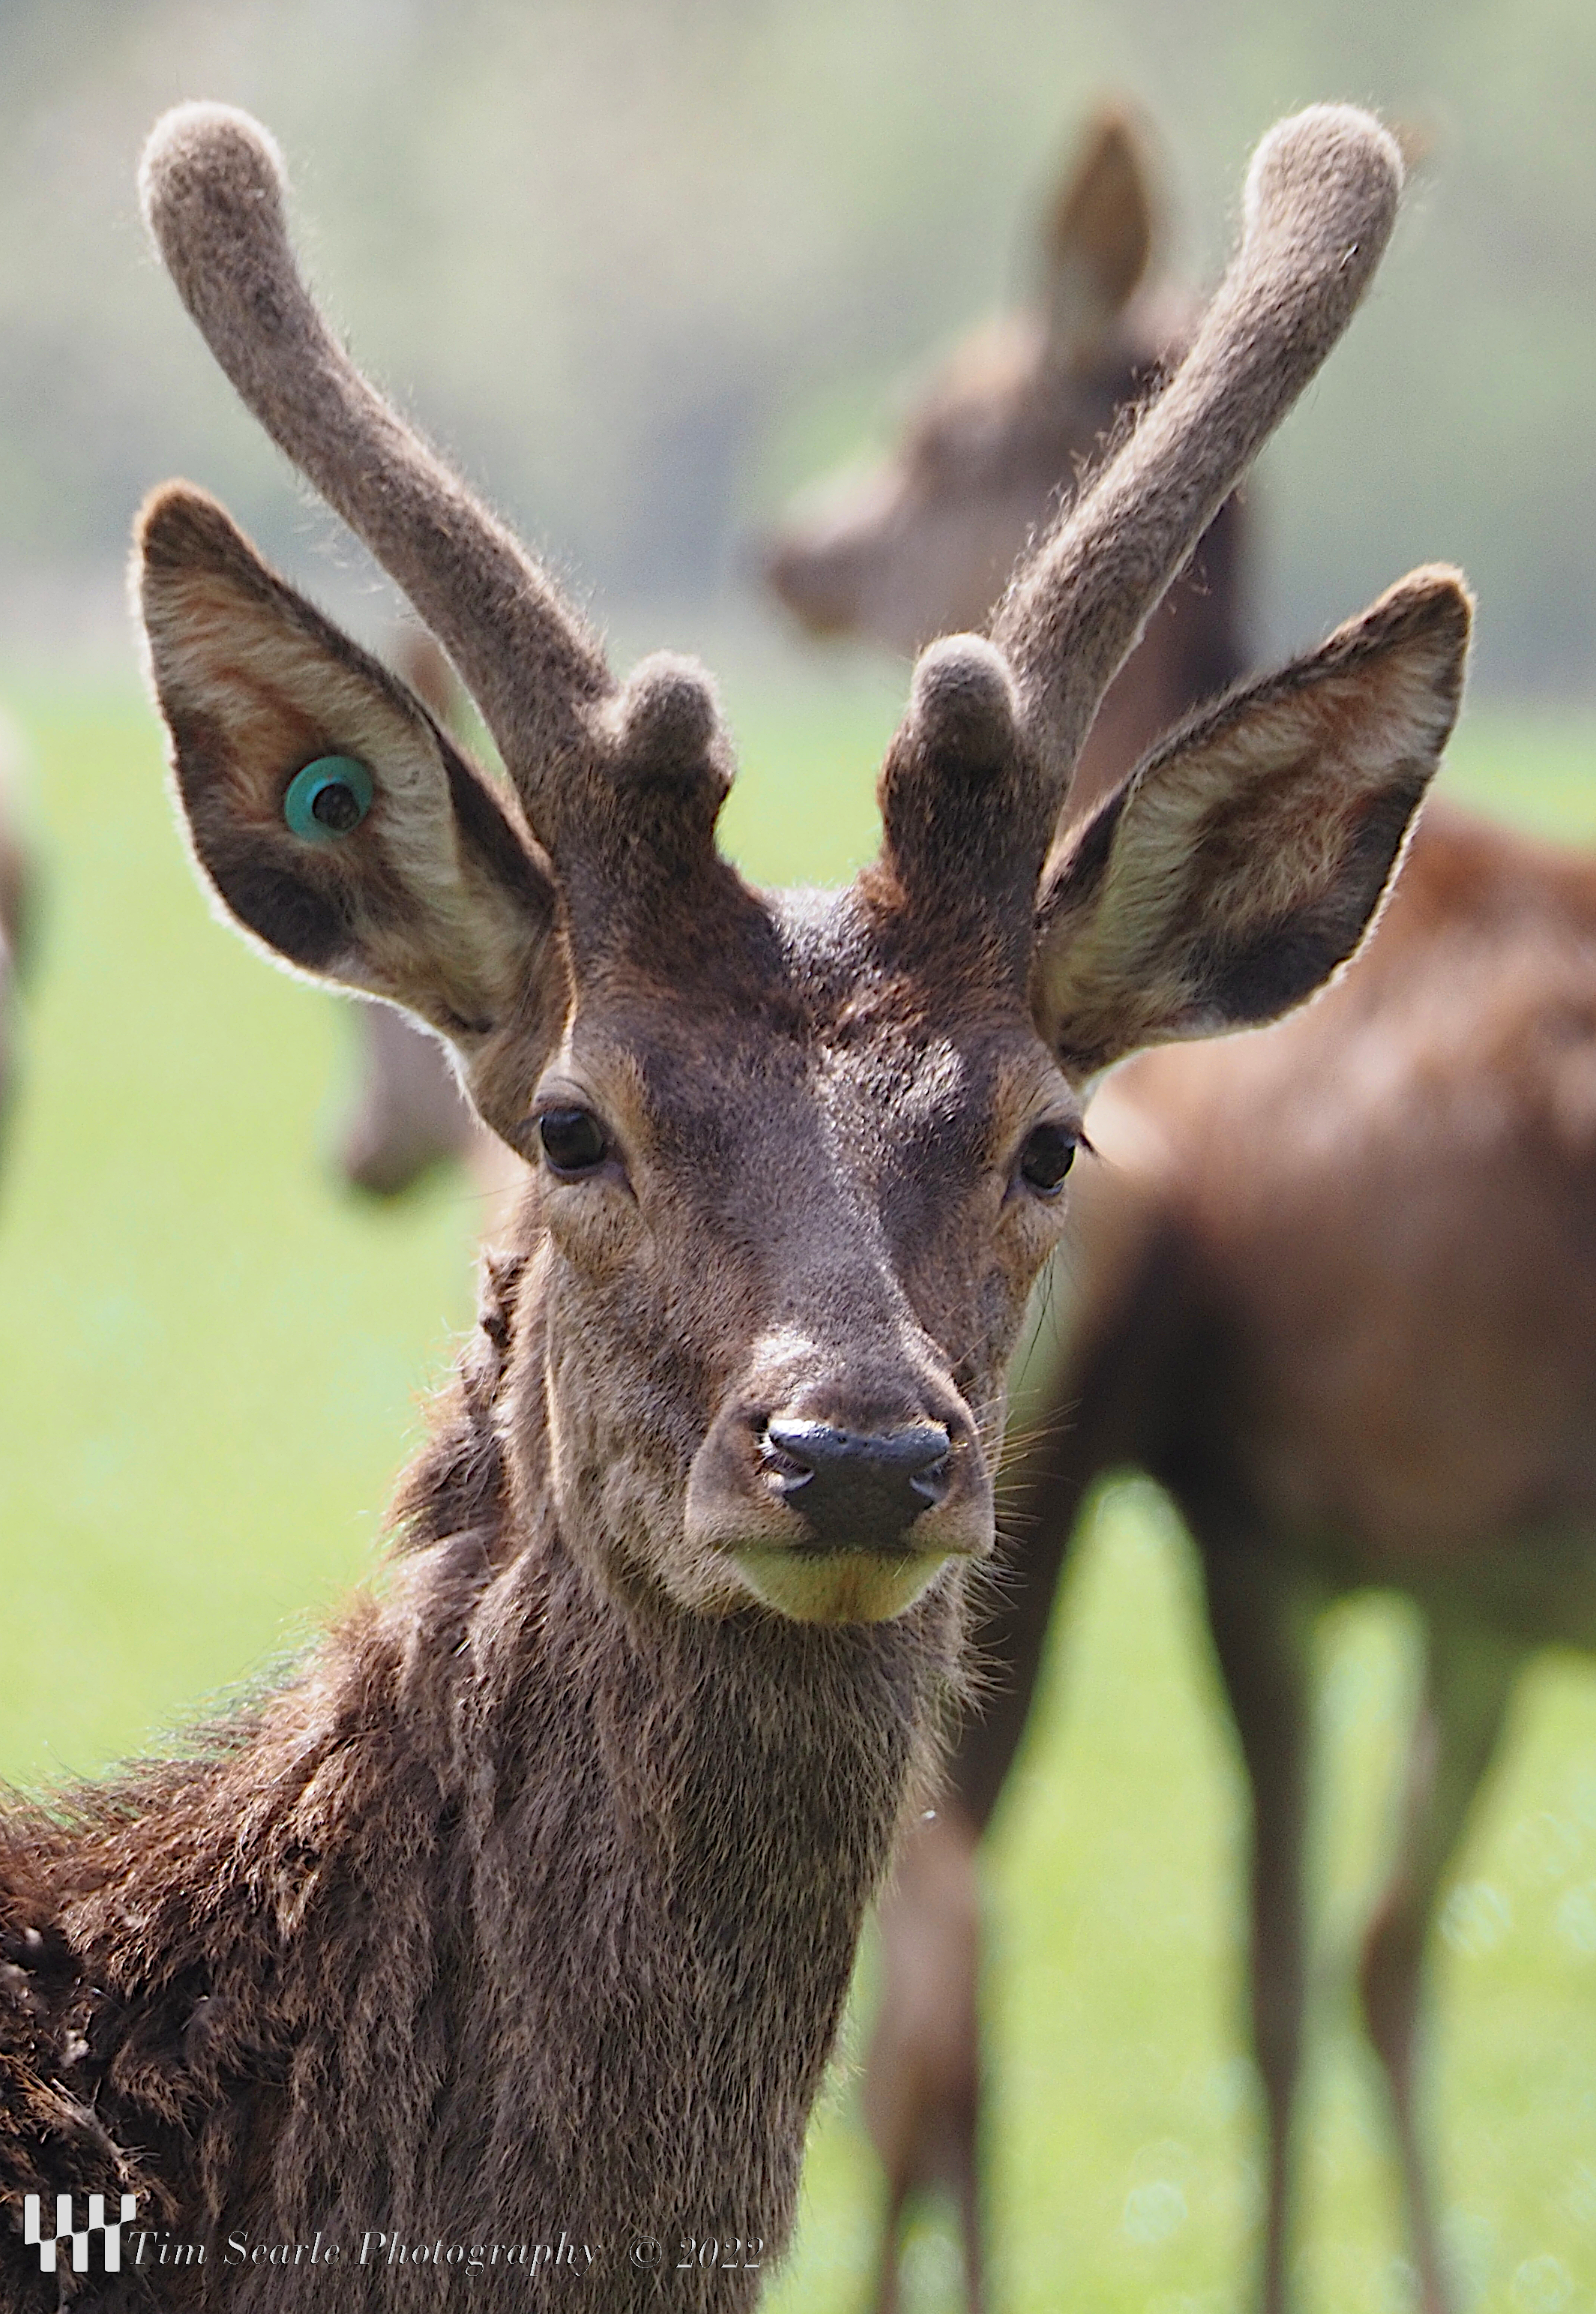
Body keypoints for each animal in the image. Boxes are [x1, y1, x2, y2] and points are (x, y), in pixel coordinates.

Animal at [764, 118, 1571, 2314]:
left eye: (945, 423)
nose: (795, 547)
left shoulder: (1256, 1494)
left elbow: (1280, 1980)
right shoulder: (1443, 1570)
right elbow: (1375, 1958)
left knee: (945, 1977)